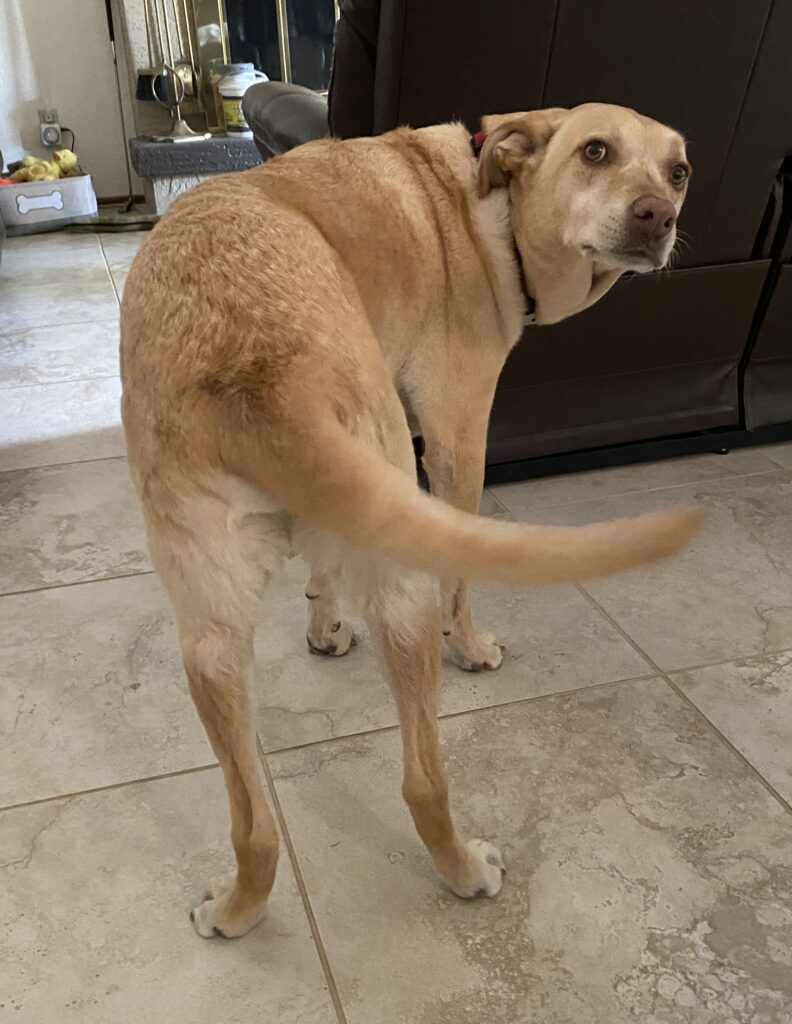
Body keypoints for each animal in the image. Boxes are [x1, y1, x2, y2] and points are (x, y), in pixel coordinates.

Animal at [117, 101, 696, 937]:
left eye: (678, 171)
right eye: (596, 151)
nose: (660, 216)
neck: (487, 202)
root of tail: (259, 371)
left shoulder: (361, 501)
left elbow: (323, 570)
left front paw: (324, 627)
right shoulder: (457, 442)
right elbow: (462, 578)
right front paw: (474, 646)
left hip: (210, 638)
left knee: (254, 825)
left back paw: (235, 910)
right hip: (402, 594)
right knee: (423, 781)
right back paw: (464, 870)